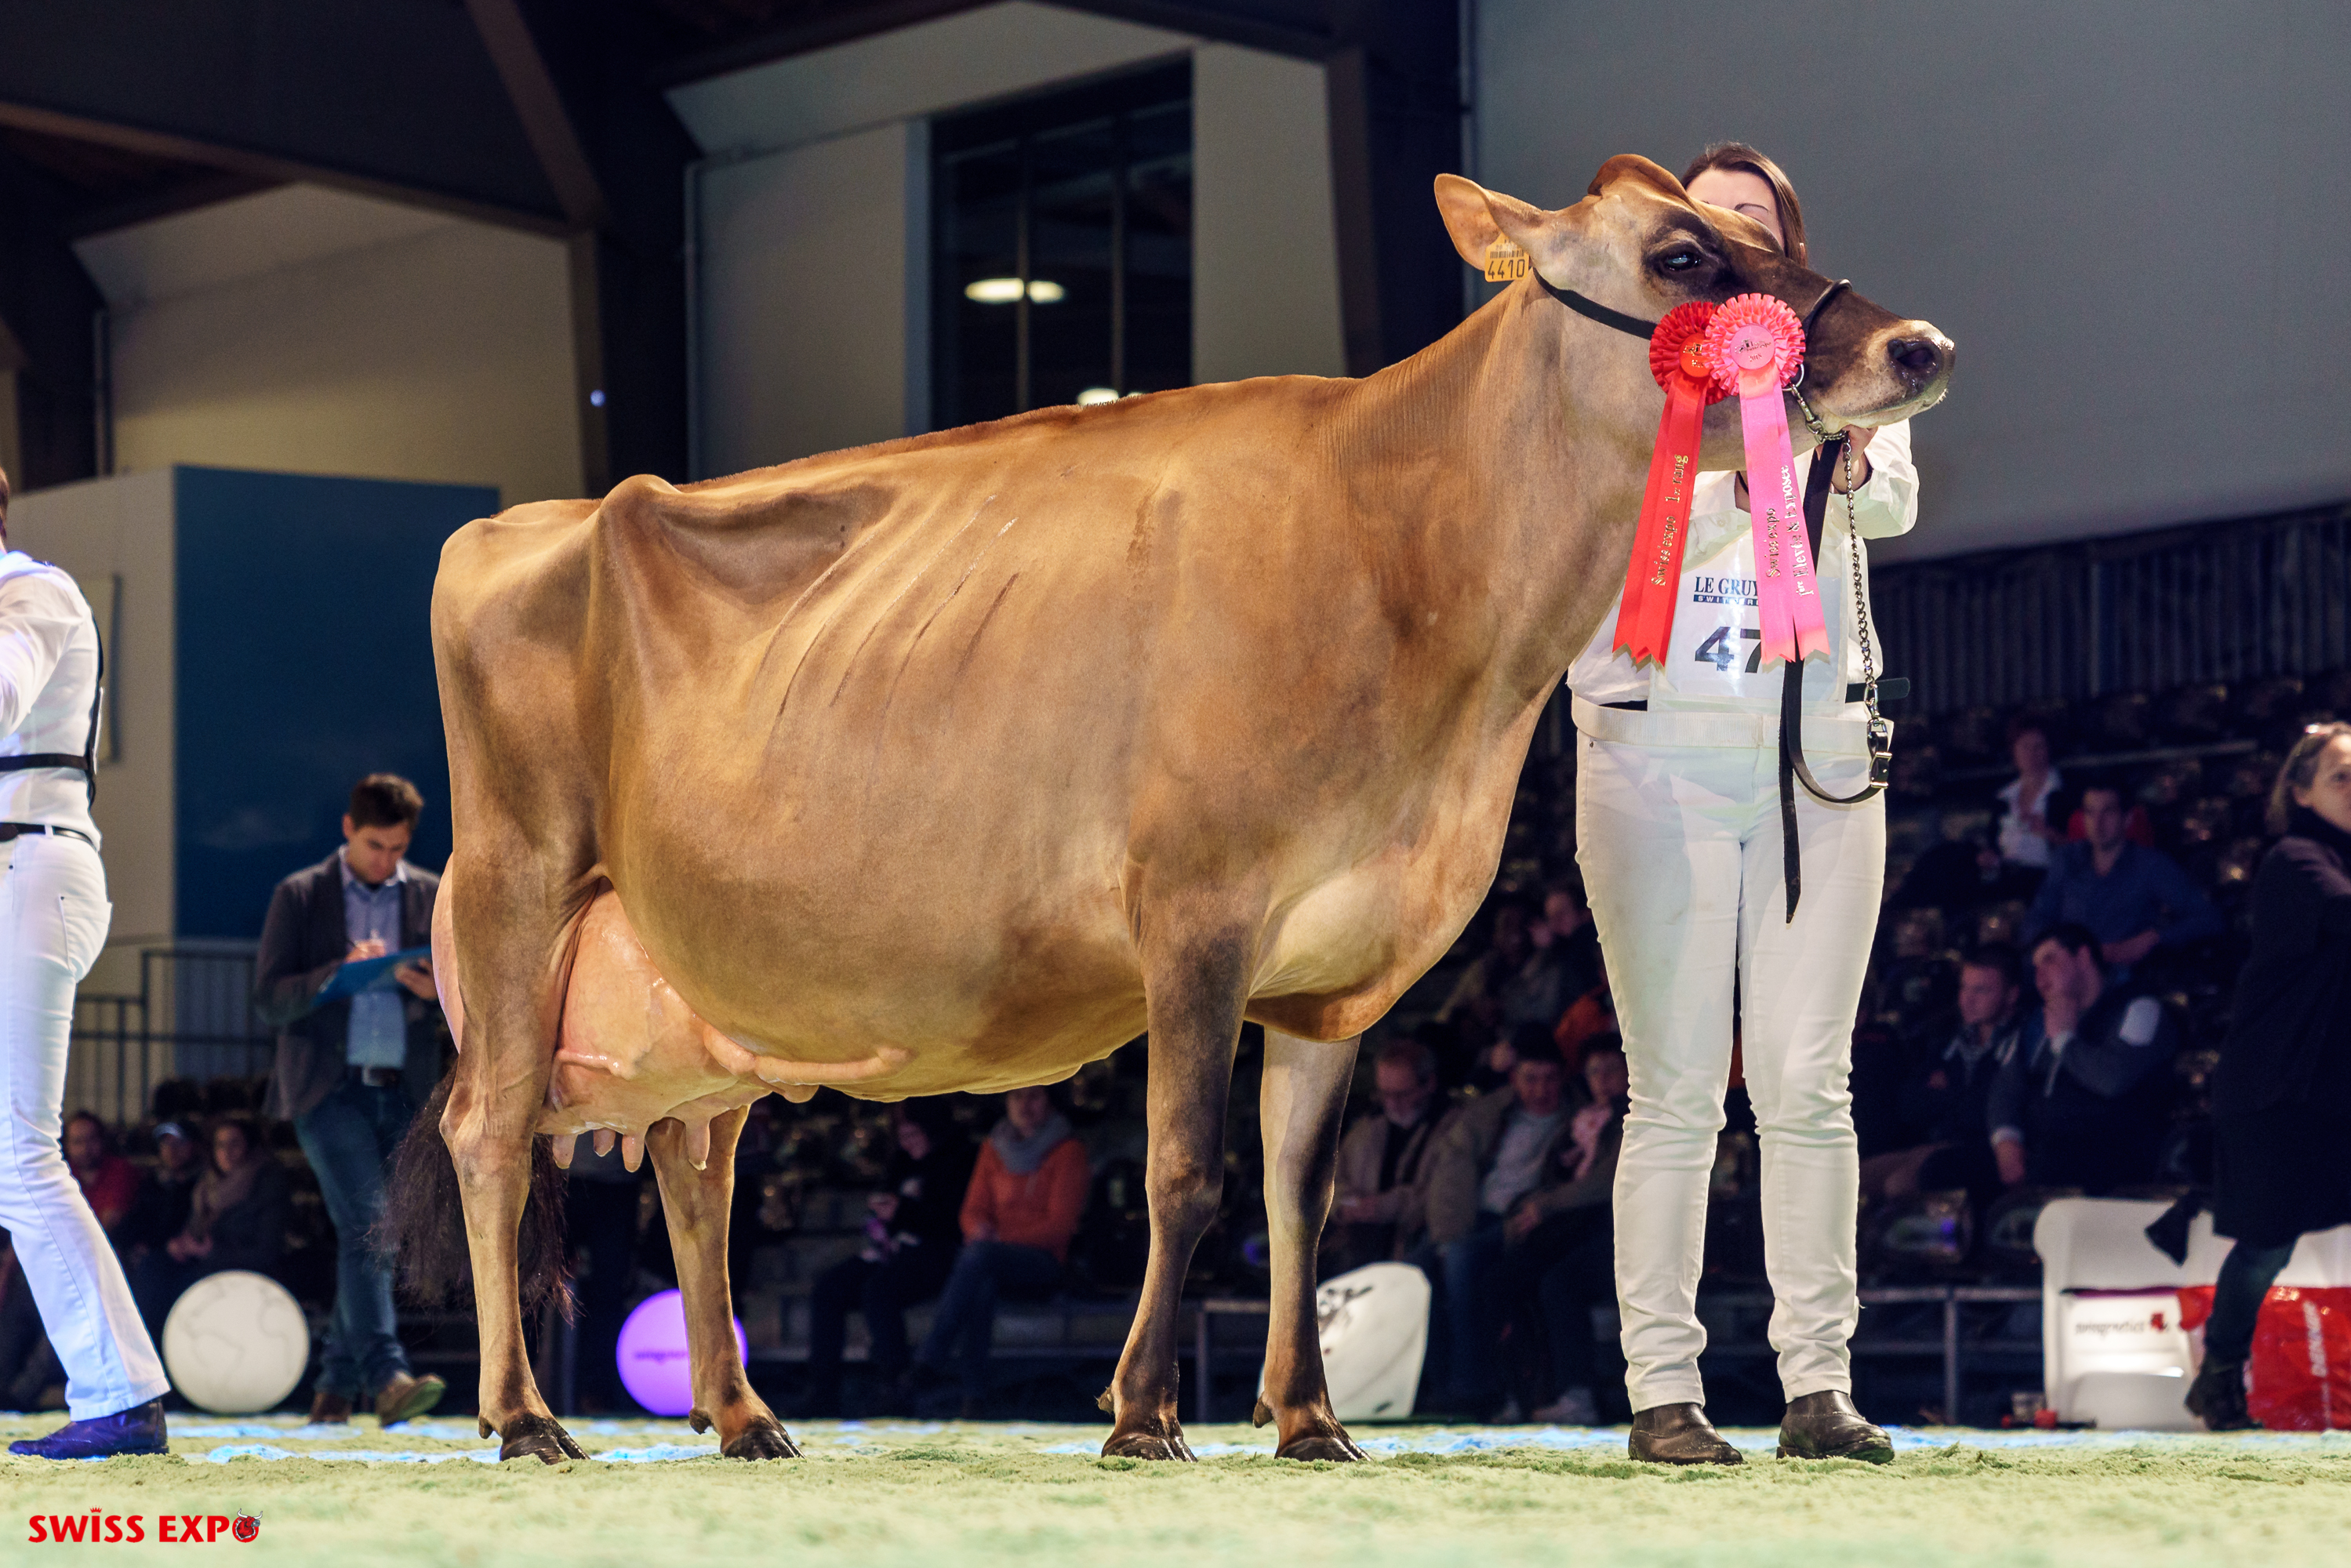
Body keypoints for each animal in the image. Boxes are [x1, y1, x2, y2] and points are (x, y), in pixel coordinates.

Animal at [392, 155, 1952, 1465]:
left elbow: (1298, 1196)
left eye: (1767, 233)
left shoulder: (1335, 969)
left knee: (690, 1164)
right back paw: (525, 1416)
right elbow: (1186, 1171)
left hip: (703, 983)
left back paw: (741, 1415)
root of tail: (524, 521)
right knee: (493, 1136)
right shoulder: (1195, 914)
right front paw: (1144, 1413)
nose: (1920, 346)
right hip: (520, 881)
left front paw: (1309, 1422)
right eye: (1685, 253)